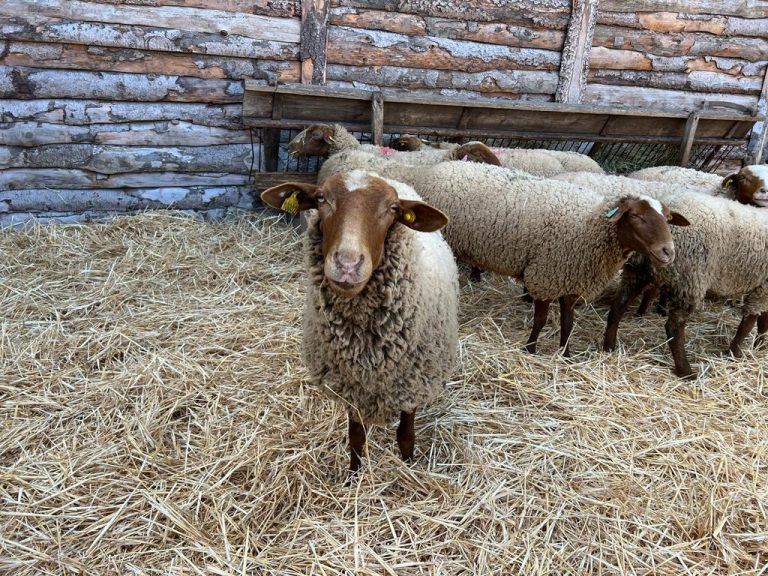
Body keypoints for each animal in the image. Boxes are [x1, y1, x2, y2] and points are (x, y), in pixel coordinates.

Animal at [260, 169, 460, 474]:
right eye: (321, 198)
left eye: (393, 209)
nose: (347, 264)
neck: (368, 352)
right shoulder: (350, 387)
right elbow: (356, 438)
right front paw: (353, 476)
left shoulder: (412, 384)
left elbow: (406, 436)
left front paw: (407, 469)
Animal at [316, 151, 688, 354]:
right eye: (638, 216)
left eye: (668, 218)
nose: (668, 252)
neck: (591, 228)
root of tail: (443, 164)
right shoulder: (546, 275)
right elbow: (541, 319)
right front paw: (532, 348)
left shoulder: (570, 279)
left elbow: (568, 322)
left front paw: (565, 353)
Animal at [604, 189, 768, 378]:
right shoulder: (763, 288)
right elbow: (748, 324)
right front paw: (735, 352)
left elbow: (763, 321)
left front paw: (759, 346)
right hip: (689, 279)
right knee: (673, 328)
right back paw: (687, 372)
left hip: (637, 271)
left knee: (618, 307)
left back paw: (608, 348)